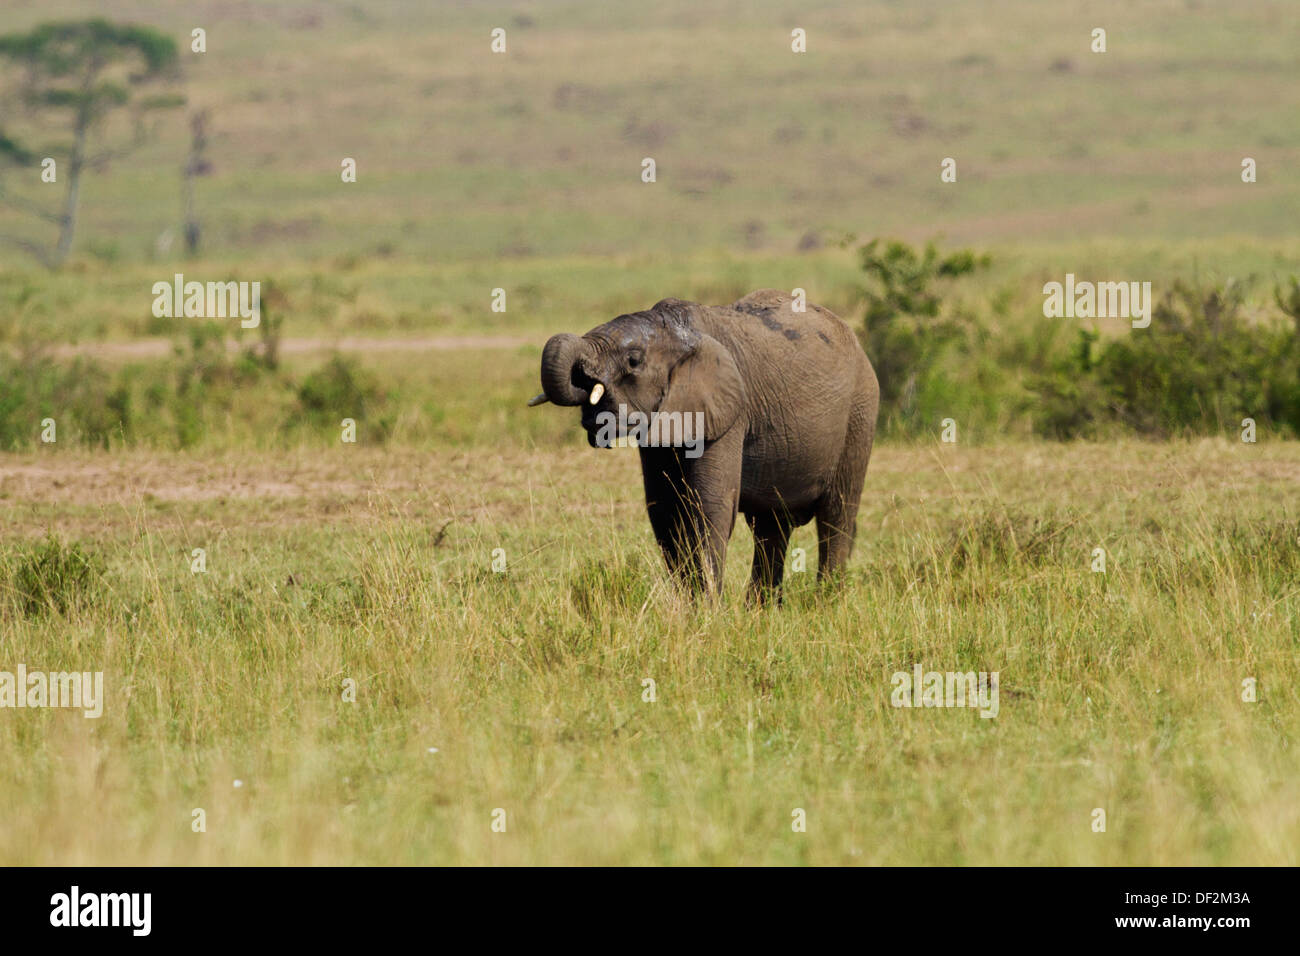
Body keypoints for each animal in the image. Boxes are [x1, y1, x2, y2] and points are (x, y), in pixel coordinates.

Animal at [530, 290, 883, 598]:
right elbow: (665, 512)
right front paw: (691, 610)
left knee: (836, 517)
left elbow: (709, 507)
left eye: (633, 361)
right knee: (772, 527)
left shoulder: (729, 413)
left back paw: (826, 604)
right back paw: (762, 613)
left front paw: (709, 611)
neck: (676, 330)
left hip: (860, 414)